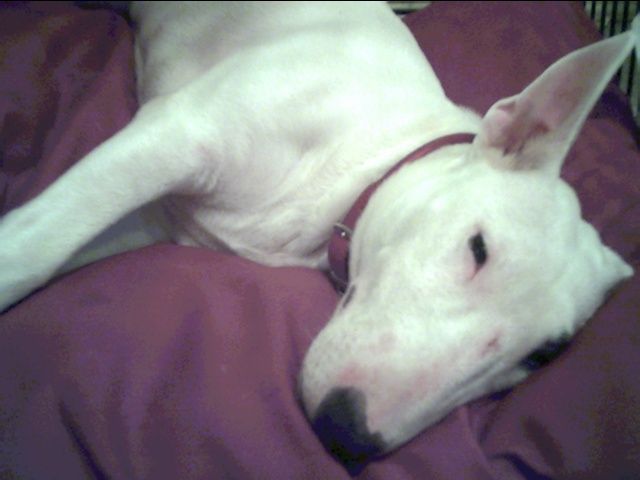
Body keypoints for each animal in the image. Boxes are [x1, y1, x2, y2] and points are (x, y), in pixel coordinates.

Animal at [0, 1, 635, 469]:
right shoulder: (179, 135)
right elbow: (34, 248)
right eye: (479, 249)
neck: (364, 159)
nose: (346, 433)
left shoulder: (153, 219)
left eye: (544, 355)